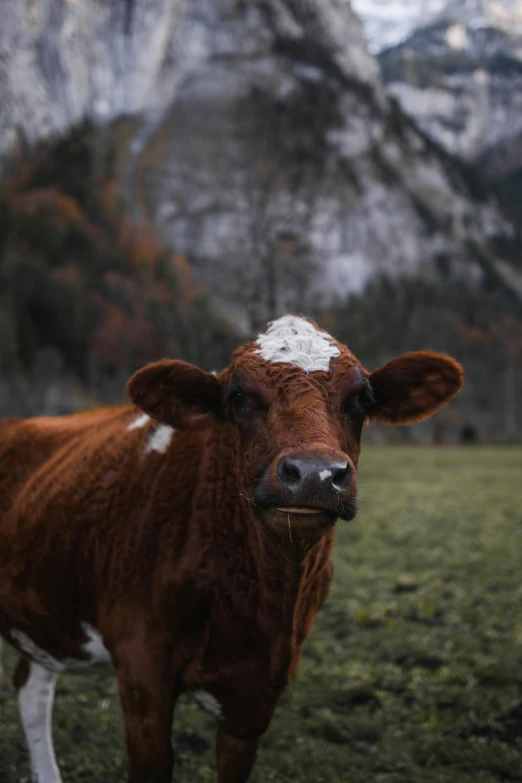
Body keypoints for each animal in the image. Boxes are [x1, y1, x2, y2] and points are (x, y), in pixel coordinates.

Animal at [1, 316, 464, 780]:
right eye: (238, 397)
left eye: (361, 399)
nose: (314, 474)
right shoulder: (141, 673)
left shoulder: (256, 696)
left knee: (32, 685)